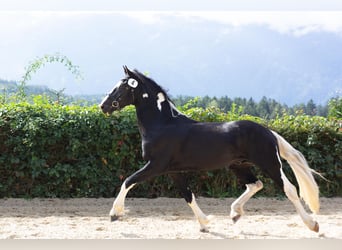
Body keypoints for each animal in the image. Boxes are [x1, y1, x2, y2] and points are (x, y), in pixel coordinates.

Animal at [99, 66, 320, 232]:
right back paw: (235, 213)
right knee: (255, 184)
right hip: (238, 165)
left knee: (289, 189)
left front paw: (114, 214)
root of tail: (269, 132)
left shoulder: (156, 165)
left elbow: (128, 181)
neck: (163, 124)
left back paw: (313, 225)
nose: (103, 106)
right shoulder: (173, 171)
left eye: (122, 87)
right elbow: (188, 195)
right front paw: (205, 223)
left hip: (270, 164)